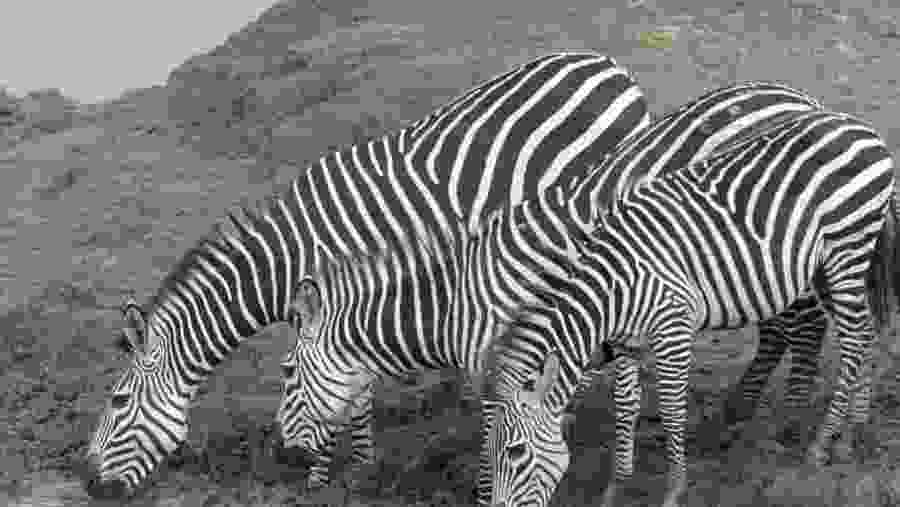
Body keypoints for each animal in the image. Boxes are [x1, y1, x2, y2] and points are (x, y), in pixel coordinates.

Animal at [78, 51, 651, 500]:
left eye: (118, 402)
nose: (87, 483)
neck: (290, 257)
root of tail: (608, 67)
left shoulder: (337, 299)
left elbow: (341, 386)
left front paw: (336, 470)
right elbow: (339, 380)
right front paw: (345, 466)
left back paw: (621, 473)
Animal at [275, 82, 827, 501]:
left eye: (286, 374)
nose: (285, 456)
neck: (457, 301)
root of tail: (798, 97)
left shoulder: (506, 356)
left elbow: (498, 431)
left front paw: (487, 490)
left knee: (806, 326)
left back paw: (788, 429)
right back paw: (740, 420)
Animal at [477, 109, 898, 507]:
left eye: (515, 453)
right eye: (493, 454)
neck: (611, 288)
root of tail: (859, 127)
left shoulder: (673, 327)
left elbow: (671, 409)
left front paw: (674, 491)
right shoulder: (627, 340)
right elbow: (626, 406)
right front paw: (616, 487)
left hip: (847, 248)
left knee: (854, 338)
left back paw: (822, 444)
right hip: (831, 265)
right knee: (865, 332)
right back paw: (849, 438)